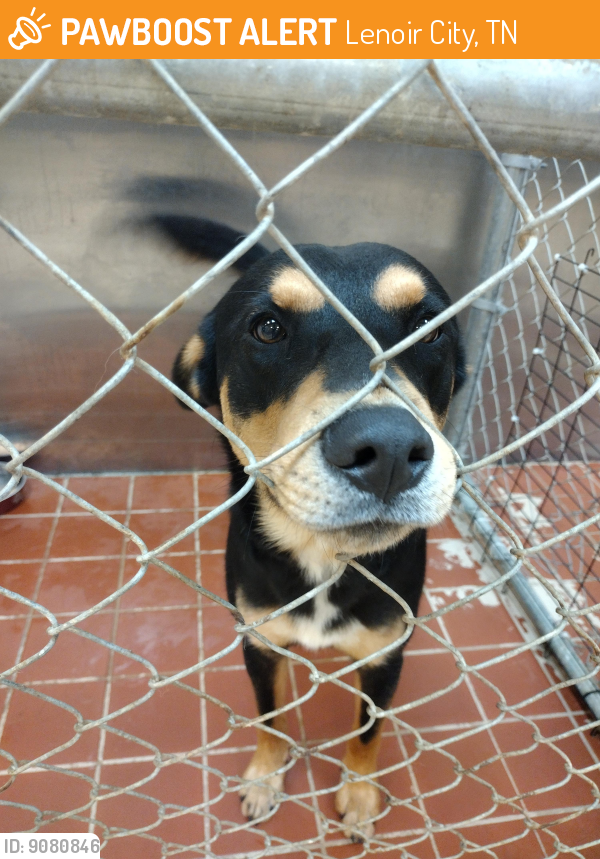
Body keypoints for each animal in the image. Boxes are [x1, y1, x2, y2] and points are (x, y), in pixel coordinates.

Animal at [154, 213, 464, 840]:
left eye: (429, 329)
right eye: (268, 329)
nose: (389, 451)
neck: (324, 560)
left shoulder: (385, 655)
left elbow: (369, 733)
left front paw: (361, 793)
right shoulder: (259, 642)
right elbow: (270, 718)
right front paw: (265, 776)